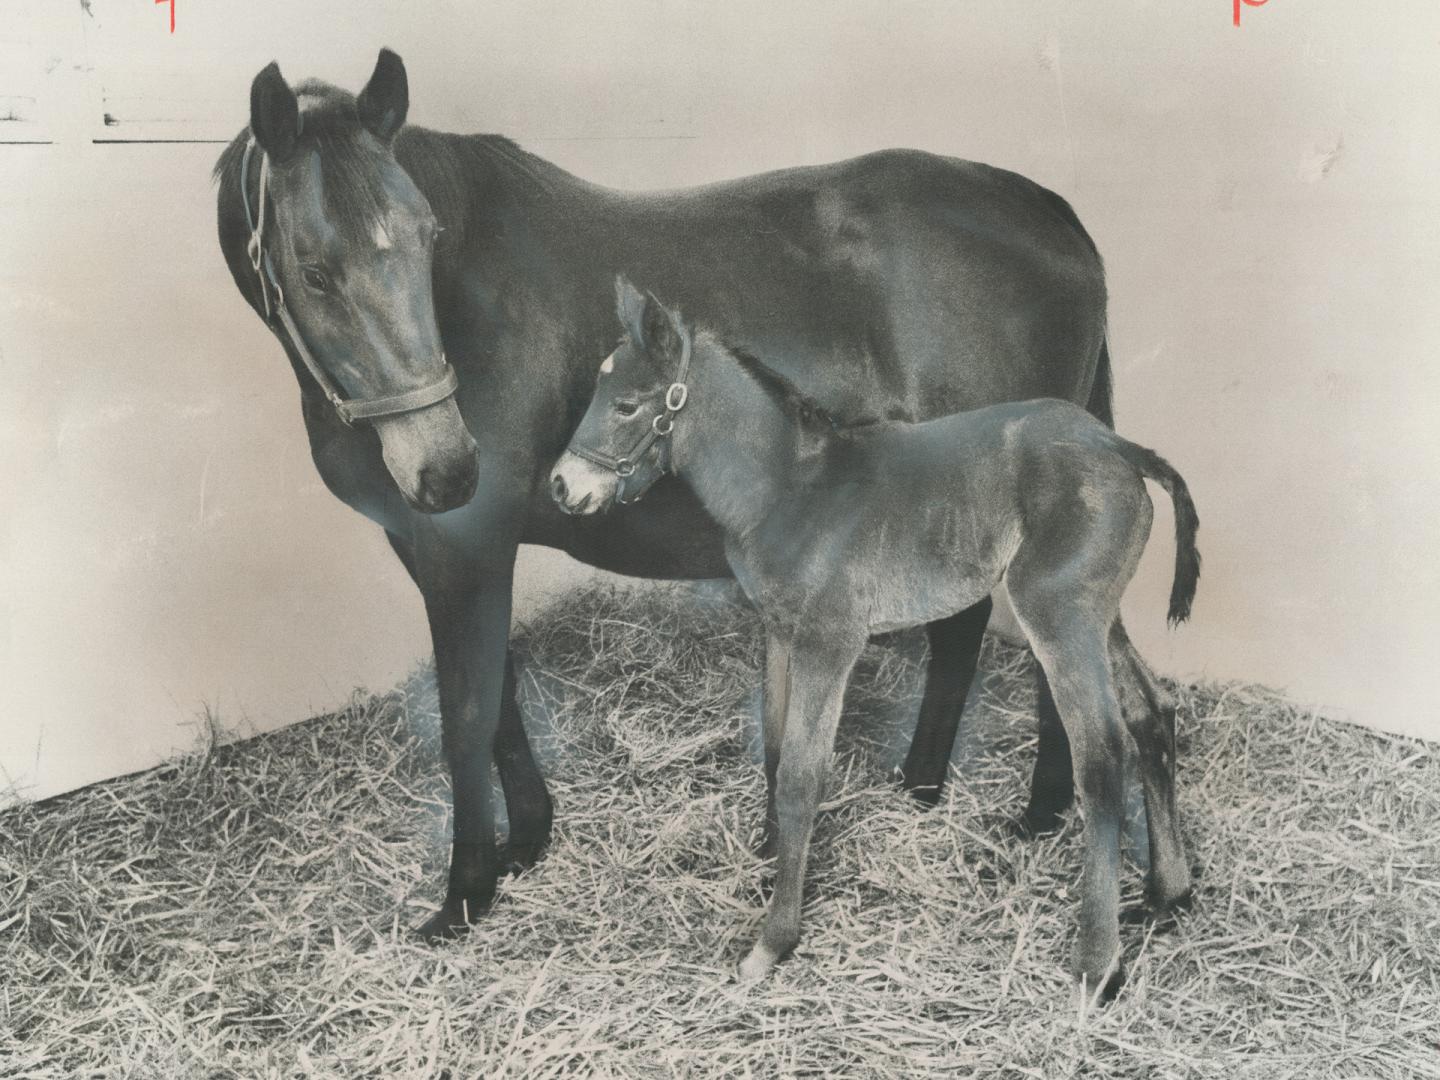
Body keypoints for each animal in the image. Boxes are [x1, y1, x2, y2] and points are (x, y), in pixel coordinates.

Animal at [216, 50, 1111, 944]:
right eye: (314, 270)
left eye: (429, 239)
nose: (448, 467)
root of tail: (1051, 212)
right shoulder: (430, 544)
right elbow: (498, 697)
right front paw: (528, 839)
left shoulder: (467, 543)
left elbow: (467, 715)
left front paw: (465, 892)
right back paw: (931, 787)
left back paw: (1035, 808)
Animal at [544, 280, 1198, 1008]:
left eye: (627, 404)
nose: (562, 486)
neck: (786, 490)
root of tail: (1121, 447)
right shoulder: (780, 631)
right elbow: (775, 749)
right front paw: (770, 853)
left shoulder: (830, 642)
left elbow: (803, 774)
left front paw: (773, 941)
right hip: (1098, 615)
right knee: (1151, 713)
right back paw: (1167, 894)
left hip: (1058, 617)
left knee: (1102, 757)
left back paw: (1096, 963)